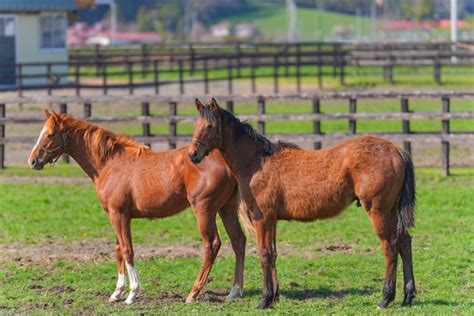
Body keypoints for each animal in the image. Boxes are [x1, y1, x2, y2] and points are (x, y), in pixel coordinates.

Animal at [27, 110, 246, 304]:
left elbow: (127, 250)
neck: (110, 163)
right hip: (226, 209)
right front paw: (117, 292)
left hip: (204, 210)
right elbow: (118, 250)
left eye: (50, 134)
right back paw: (235, 291)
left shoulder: (119, 214)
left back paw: (193, 293)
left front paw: (132, 293)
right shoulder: (115, 215)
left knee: (212, 245)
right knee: (238, 241)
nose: (33, 160)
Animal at [187, 99, 416, 308]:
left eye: (209, 126)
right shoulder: (272, 219)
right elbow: (273, 253)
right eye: (195, 125)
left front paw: (264, 300)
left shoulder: (262, 217)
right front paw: (274, 297)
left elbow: (264, 254)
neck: (257, 163)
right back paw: (407, 296)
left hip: (379, 211)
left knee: (390, 248)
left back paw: (385, 299)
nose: (193, 154)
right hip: (391, 211)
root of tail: (396, 150)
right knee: (404, 242)